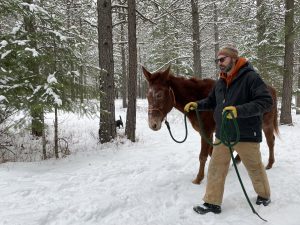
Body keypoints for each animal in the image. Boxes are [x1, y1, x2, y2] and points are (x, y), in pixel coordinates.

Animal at [143, 65, 278, 185]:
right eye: (147, 95)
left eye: (159, 95)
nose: (153, 124)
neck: (198, 99)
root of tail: (271, 89)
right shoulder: (210, 133)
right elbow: (211, 152)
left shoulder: (206, 132)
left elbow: (203, 155)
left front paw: (198, 179)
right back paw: (238, 160)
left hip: (266, 124)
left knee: (270, 141)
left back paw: (269, 164)